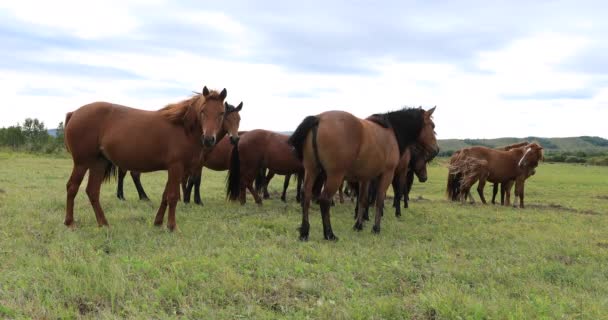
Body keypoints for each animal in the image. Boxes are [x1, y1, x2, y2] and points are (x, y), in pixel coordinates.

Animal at [114, 102, 242, 205]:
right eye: (227, 118)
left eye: (239, 119)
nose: (235, 139)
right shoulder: (197, 163)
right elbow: (195, 180)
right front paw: (193, 200)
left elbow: (188, 180)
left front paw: (185, 198)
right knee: (131, 174)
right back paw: (138, 197)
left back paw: (128, 196)